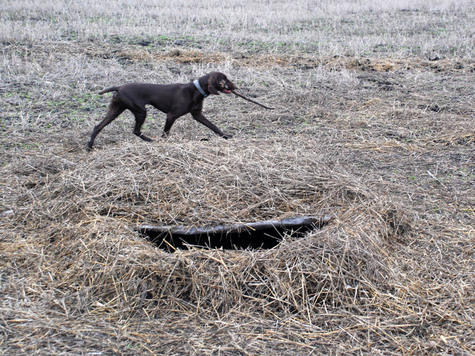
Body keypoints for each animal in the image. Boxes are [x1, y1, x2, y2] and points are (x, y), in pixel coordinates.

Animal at [87, 71, 236, 149]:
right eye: (224, 79)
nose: (236, 87)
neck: (196, 90)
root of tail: (119, 87)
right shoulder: (171, 115)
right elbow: (166, 133)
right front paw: (165, 142)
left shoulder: (197, 115)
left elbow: (213, 126)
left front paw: (225, 135)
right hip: (140, 111)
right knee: (136, 130)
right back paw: (150, 141)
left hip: (115, 110)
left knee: (98, 126)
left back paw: (89, 146)